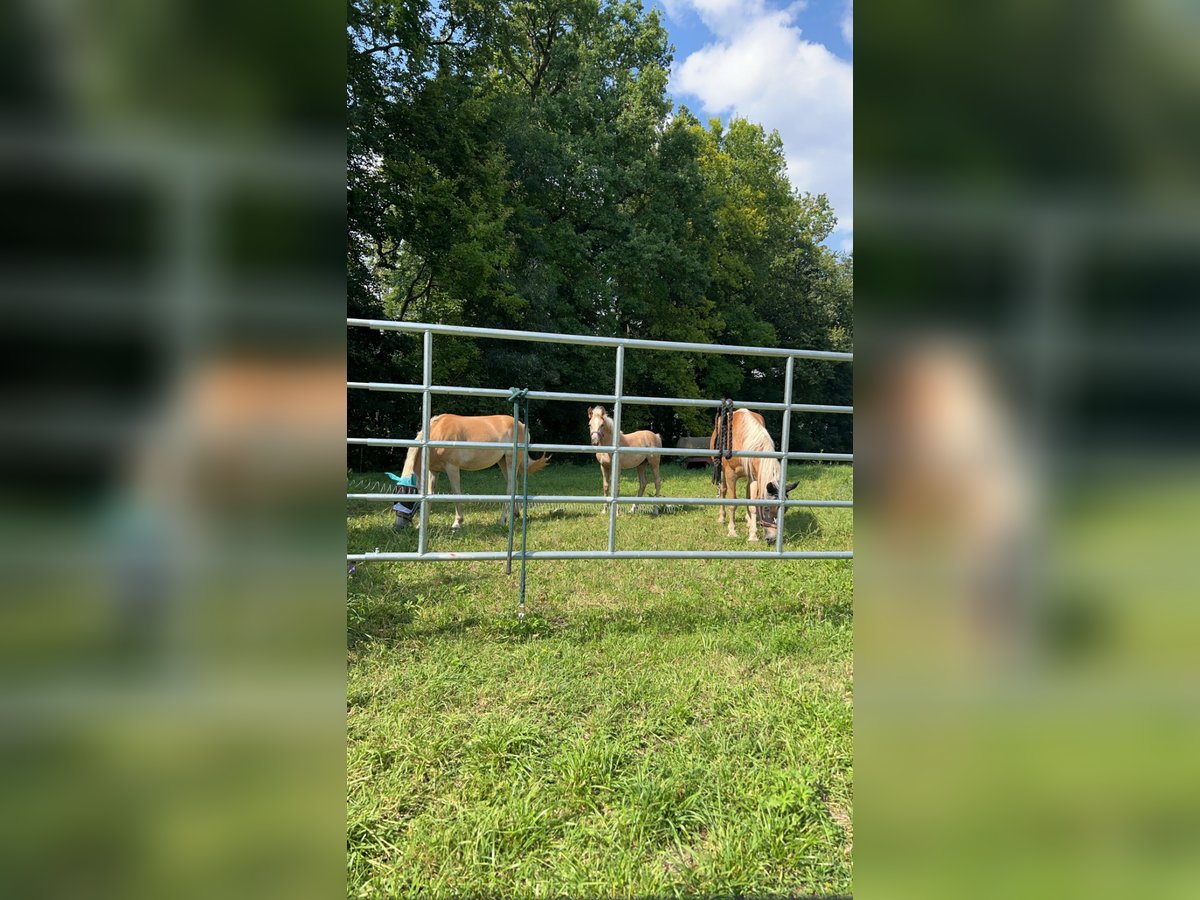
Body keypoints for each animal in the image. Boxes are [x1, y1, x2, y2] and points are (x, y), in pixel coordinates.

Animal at [393, 415, 552, 532]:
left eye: (408, 500)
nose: (399, 526)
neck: (436, 434)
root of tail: (521, 425)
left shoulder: (452, 468)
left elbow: (456, 492)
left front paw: (457, 523)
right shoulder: (433, 471)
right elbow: (429, 495)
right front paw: (421, 524)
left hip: (511, 460)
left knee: (510, 487)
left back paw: (502, 520)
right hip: (502, 462)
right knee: (515, 485)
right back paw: (515, 515)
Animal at [710, 408, 796, 542]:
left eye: (785, 509)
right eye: (766, 508)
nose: (772, 539)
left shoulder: (754, 478)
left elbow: (753, 504)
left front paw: (753, 535)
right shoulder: (730, 474)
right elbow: (732, 503)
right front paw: (732, 531)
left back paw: (749, 521)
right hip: (722, 473)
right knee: (723, 491)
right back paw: (721, 518)